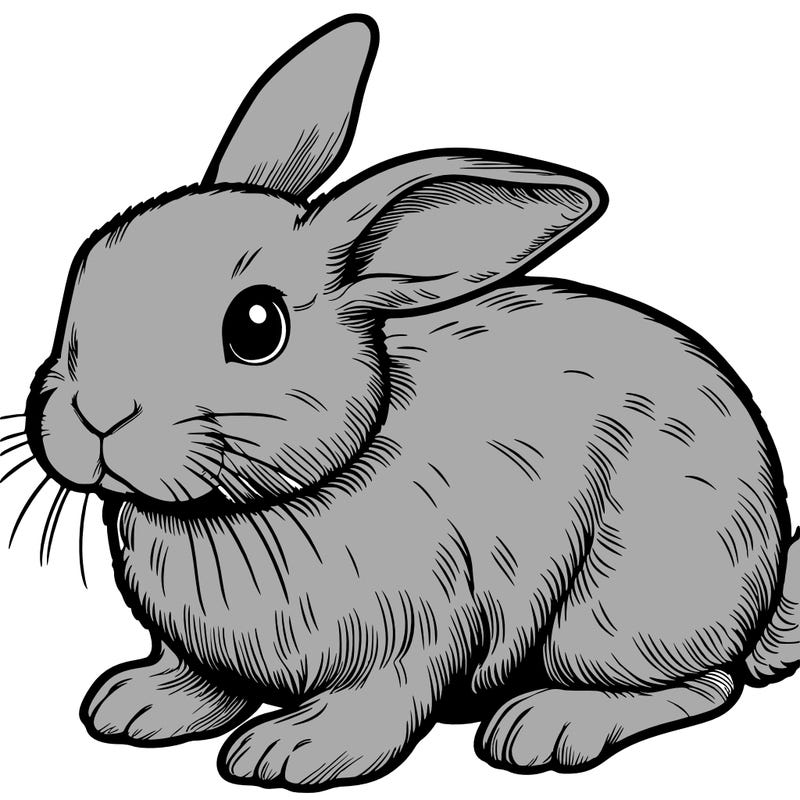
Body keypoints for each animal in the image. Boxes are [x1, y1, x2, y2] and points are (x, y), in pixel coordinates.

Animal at [12, 12, 799, 792]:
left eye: (256, 326)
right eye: (86, 270)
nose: (96, 414)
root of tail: (764, 587)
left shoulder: (418, 630)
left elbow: (381, 702)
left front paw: (292, 750)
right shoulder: (201, 650)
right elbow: (201, 680)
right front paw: (136, 705)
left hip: (618, 611)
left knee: (704, 685)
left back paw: (546, 725)